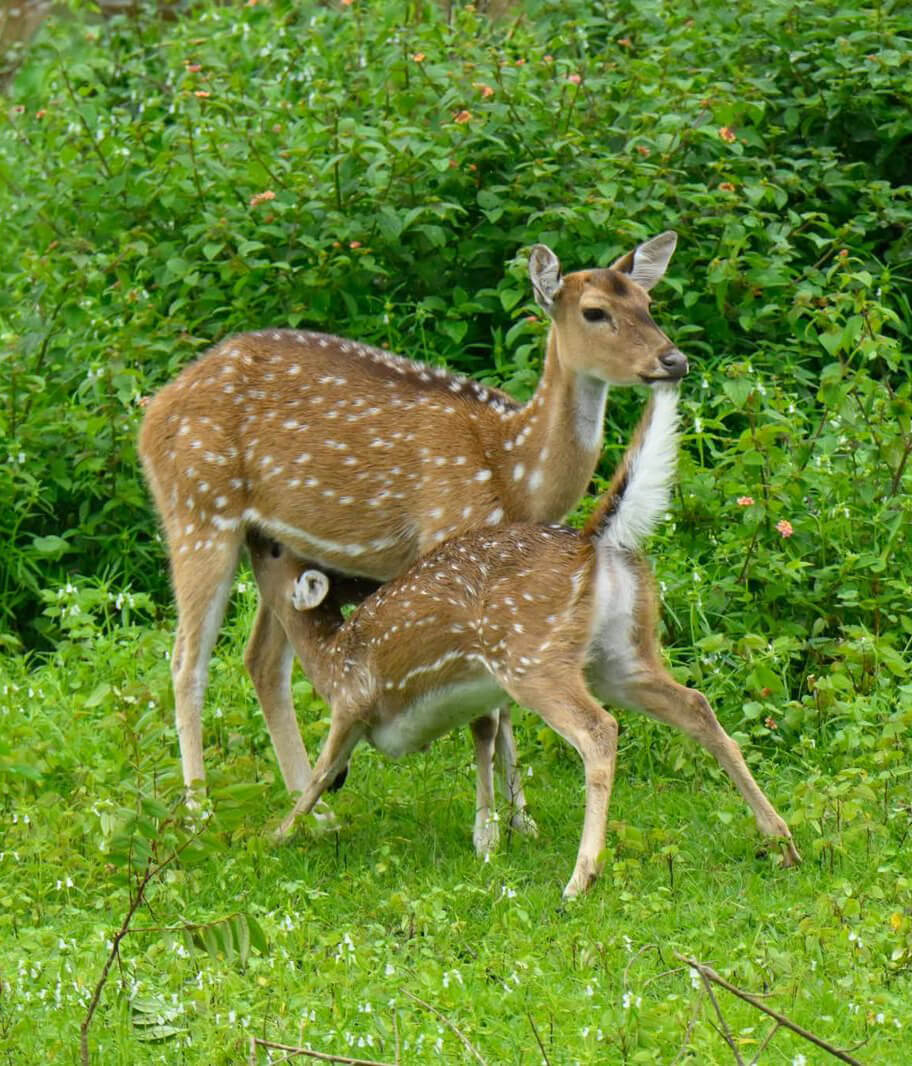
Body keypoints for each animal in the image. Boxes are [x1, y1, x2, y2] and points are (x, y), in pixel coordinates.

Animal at [138, 230, 688, 849]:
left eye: (647, 304)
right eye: (595, 312)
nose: (674, 360)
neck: (515, 470)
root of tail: (152, 412)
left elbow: (502, 704)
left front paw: (522, 820)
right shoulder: (445, 532)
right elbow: (490, 711)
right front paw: (495, 828)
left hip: (275, 544)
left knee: (262, 661)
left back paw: (317, 811)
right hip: (197, 510)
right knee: (187, 660)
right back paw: (200, 812)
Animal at [245, 381, 801, 898]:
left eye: (275, 551)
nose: (253, 532)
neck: (330, 658)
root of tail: (592, 543)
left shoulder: (353, 702)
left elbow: (318, 775)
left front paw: (275, 837)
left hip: (531, 653)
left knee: (599, 730)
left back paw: (580, 879)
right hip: (621, 653)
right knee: (695, 703)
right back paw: (781, 841)